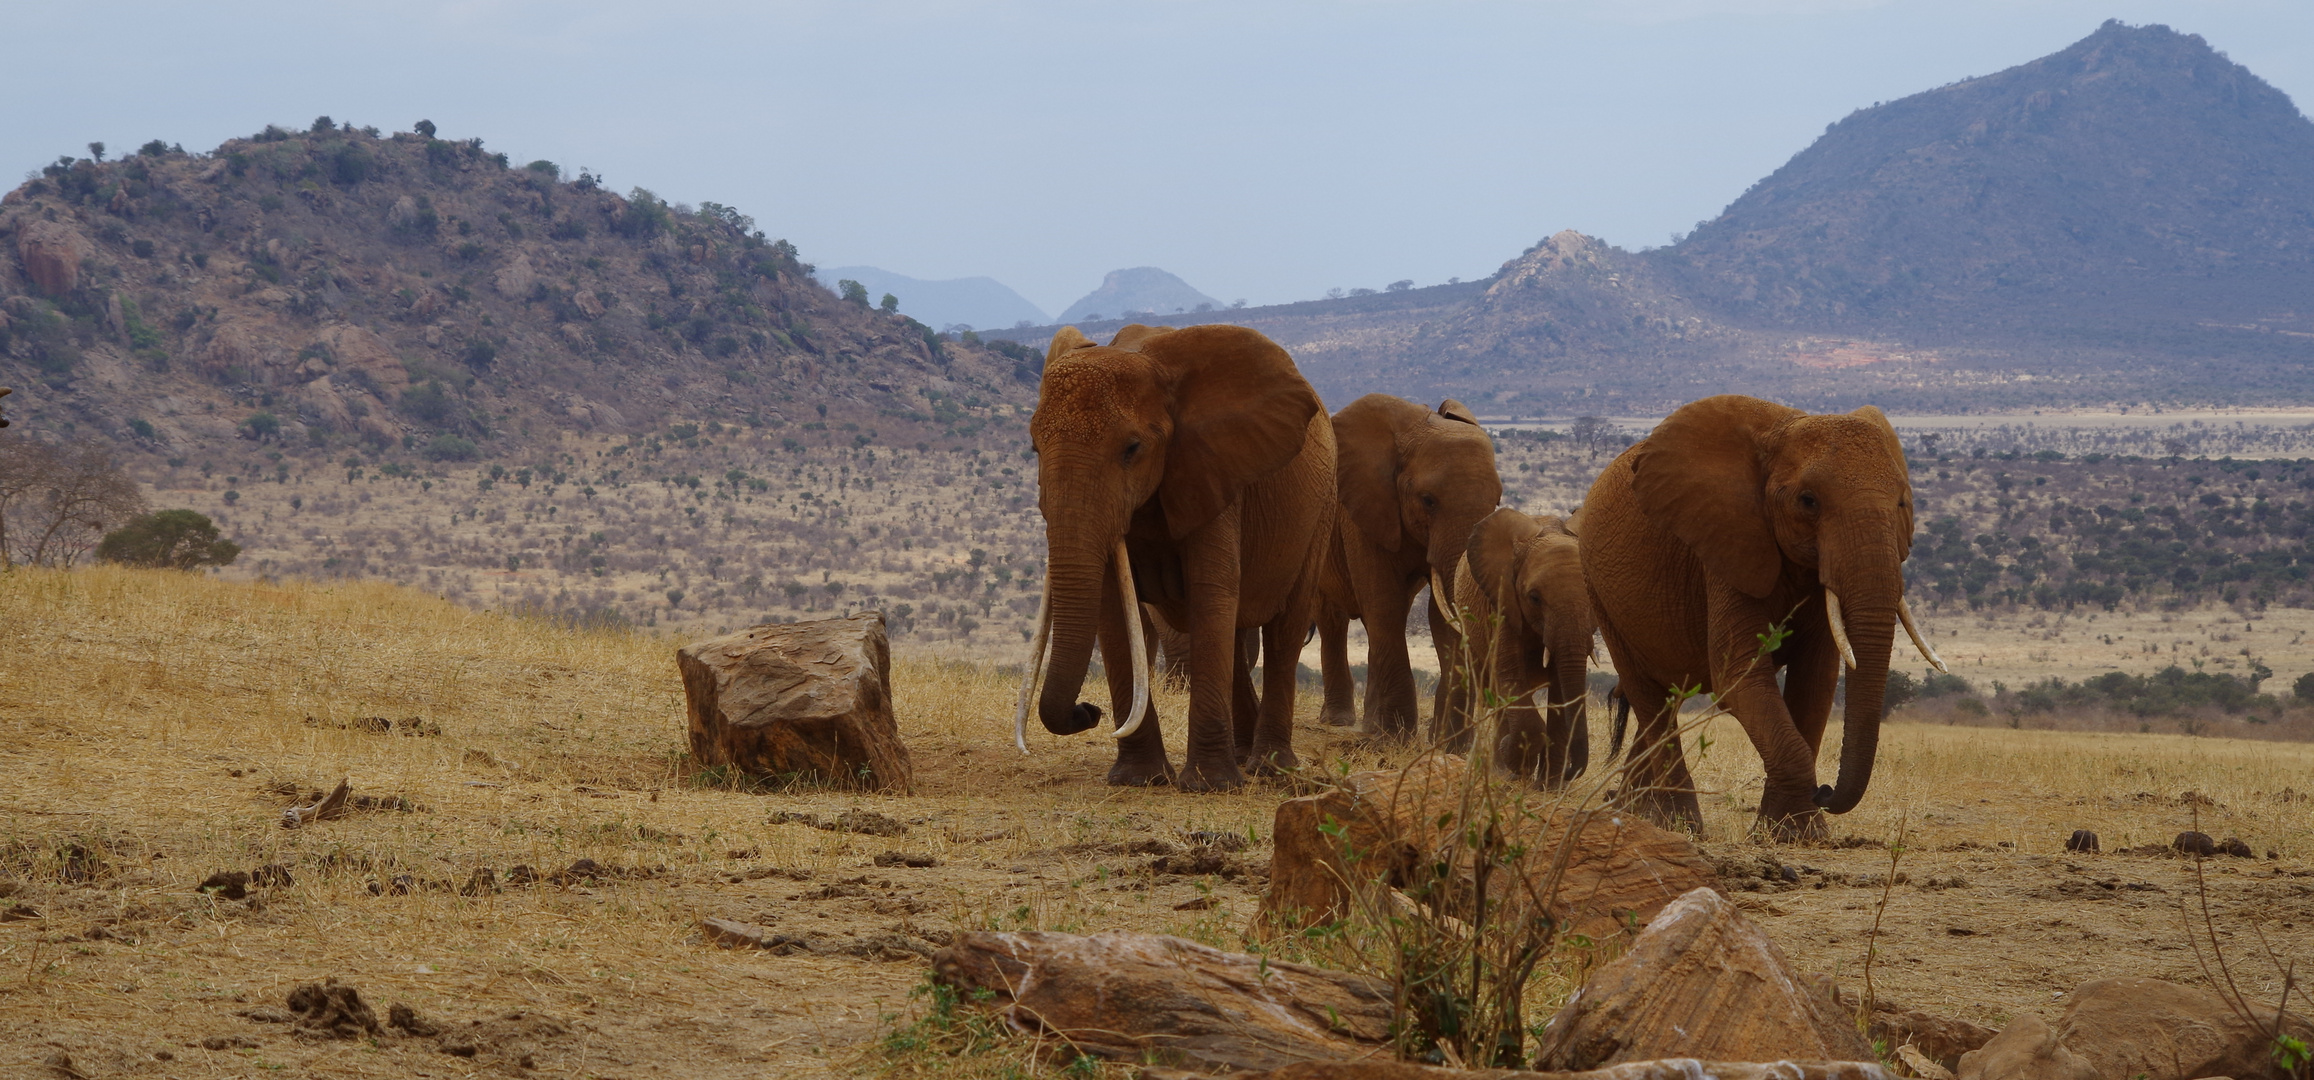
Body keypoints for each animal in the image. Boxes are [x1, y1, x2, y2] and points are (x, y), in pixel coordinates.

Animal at [1013, 326, 1342, 790]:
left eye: (1132, 449)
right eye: (1034, 449)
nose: (1088, 711)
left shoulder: (1213, 473)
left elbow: (1210, 591)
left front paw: (1209, 786)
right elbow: (1112, 606)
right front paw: (1140, 779)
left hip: (1321, 508)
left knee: (1284, 630)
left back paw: (1270, 769)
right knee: (1235, 634)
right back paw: (1242, 757)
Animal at [1314, 395, 1508, 744]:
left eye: (1497, 502)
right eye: (1428, 500)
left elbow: (1438, 615)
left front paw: (1448, 743)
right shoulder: (1363, 511)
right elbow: (1383, 601)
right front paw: (1395, 738)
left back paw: (1370, 726)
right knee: (1333, 619)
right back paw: (1340, 721)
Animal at [1434, 506, 1601, 786]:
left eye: (1593, 597)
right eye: (1534, 598)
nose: (1570, 773)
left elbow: (1560, 689)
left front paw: (1548, 787)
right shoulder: (1502, 603)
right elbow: (1509, 675)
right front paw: (1511, 761)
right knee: (1494, 688)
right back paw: (1504, 772)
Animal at [1582, 395, 1943, 837]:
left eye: (1902, 503)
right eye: (1808, 501)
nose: (1824, 790)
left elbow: (1815, 680)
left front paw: (1796, 835)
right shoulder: (1727, 545)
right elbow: (1738, 675)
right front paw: (1793, 831)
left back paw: (1634, 811)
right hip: (1599, 592)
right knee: (1650, 697)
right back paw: (1677, 824)